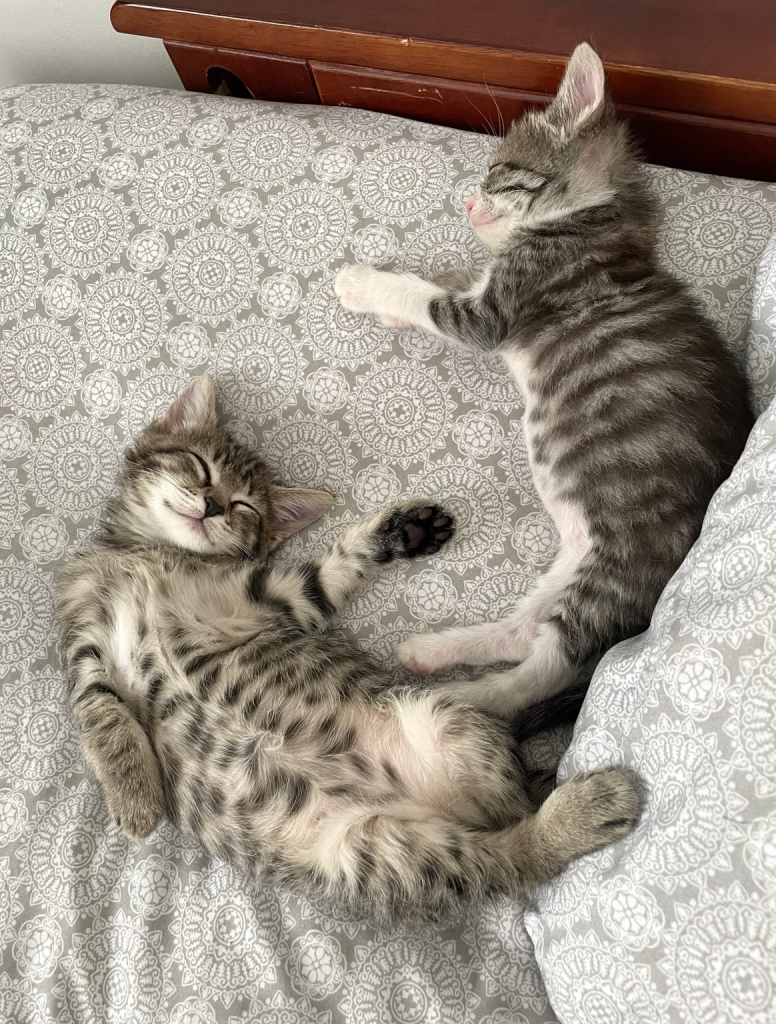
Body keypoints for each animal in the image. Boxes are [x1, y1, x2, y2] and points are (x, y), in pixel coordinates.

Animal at [53, 376, 638, 921]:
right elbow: (103, 714)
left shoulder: (279, 596)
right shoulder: (85, 647)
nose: (213, 505)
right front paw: (135, 795)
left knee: (519, 838)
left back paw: (581, 808)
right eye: (199, 465)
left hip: (437, 719)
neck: (151, 556)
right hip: (375, 852)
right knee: (505, 851)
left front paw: (404, 531)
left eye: (244, 504)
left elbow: (332, 566)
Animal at [337, 44, 757, 724]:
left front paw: (365, 285)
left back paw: (456, 700)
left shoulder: (493, 313)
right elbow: (448, 280)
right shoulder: (489, 284)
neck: (591, 216)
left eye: (497, 171)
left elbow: (430, 297)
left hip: (616, 570)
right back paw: (435, 651)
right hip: (570, 566)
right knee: (524, 630)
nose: (468, 206)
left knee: (544, 669)